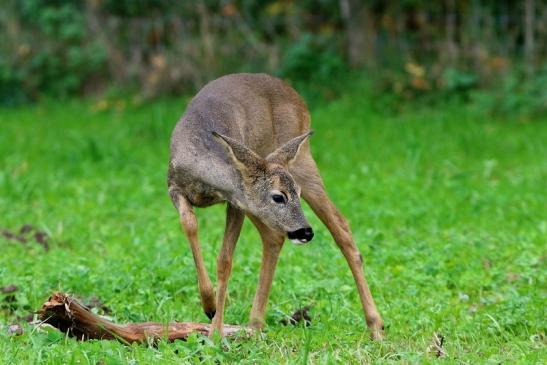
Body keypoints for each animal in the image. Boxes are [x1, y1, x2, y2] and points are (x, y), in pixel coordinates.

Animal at [167, 73, 386, 338]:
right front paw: (209, 304)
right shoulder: (175, 187)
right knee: (274, 236)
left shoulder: (236, 202)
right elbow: (189, 224)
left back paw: (376, 325)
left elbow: (225, 260)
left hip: (301, 162)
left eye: (296, 194)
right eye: (278, 196)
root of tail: (295, 94)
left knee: (340, 226)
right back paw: (254, 324)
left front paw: (216, 329)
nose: (306, 232)